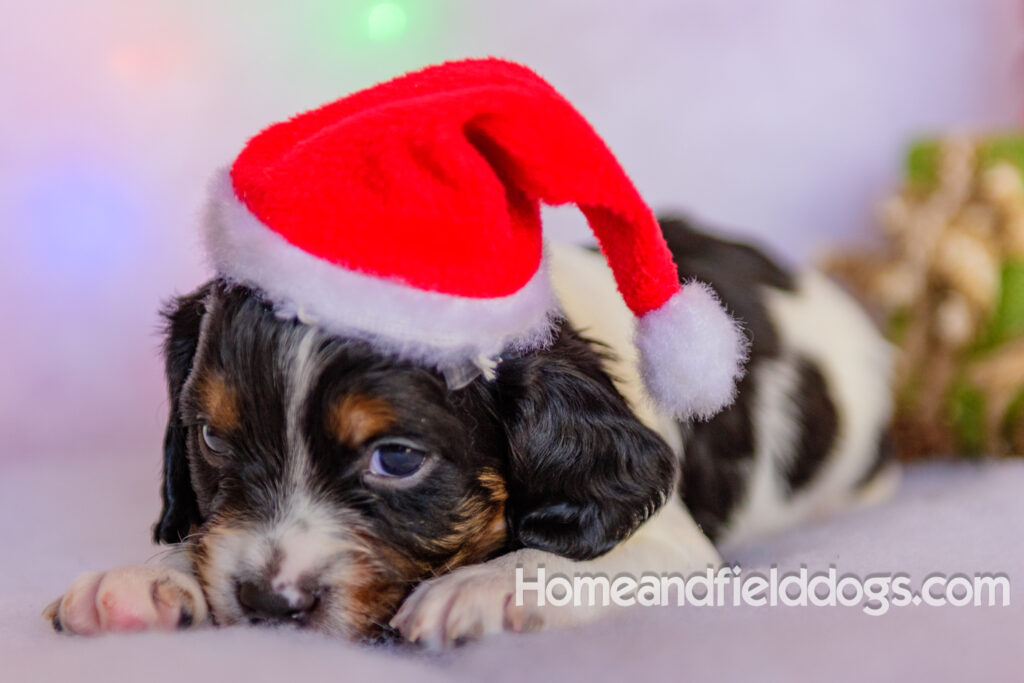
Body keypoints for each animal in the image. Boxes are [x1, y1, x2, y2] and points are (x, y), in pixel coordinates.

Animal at [46, 218, 897, 647]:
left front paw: (484, 586)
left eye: (396, 458)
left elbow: (574, 553)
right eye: (213, 439)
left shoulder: (671, 539)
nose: (265, 600)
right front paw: (144, 575)